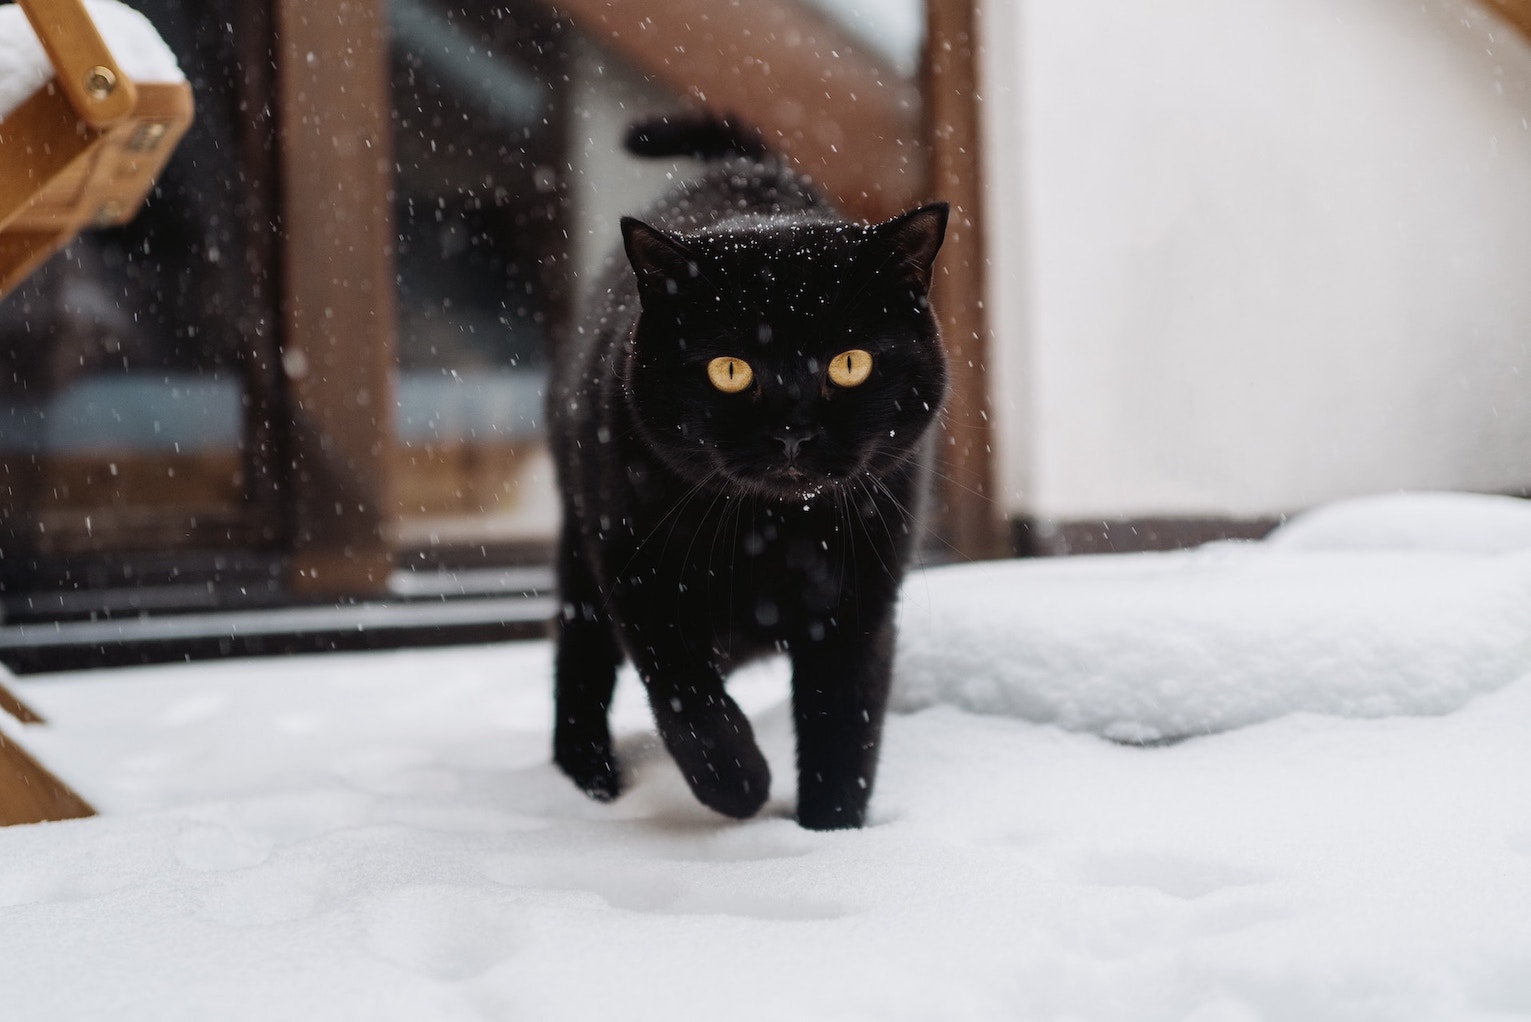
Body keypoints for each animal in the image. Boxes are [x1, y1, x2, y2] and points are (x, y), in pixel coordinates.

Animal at [551, 115, 943, 832]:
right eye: (729, 369)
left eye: (850, 363)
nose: (793, 429)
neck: (773, 535)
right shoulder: (640, 580)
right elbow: (689, 702)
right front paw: (739, 787)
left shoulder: (860, 605)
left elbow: (843, 729)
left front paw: (831, 834)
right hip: (581, 550)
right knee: (580, 659)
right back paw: (588, 778)